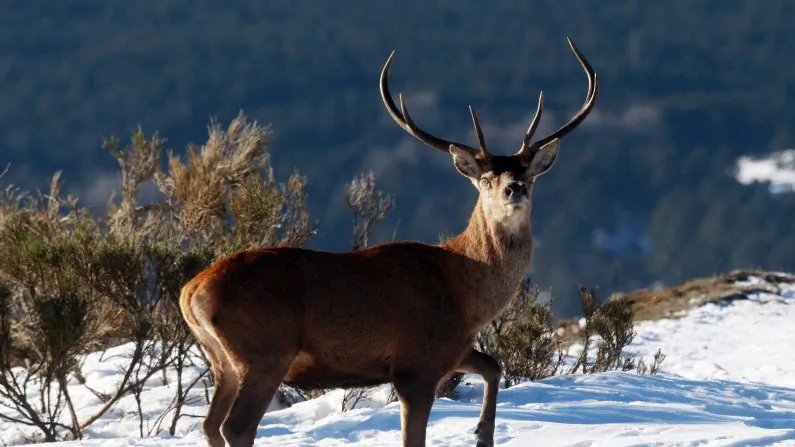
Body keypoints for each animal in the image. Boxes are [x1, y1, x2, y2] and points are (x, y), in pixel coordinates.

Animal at [180, 37, 598, 447]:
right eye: (485, 179)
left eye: (528, 173)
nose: (516, 187)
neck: (464, 291)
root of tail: (190, 292)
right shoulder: (416, 362)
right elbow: (414, 436)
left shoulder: (452, 349)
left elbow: (495, 365)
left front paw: (483, 434)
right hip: (264, 351)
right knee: (236, 426)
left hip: (223, 361)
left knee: (210, 424)